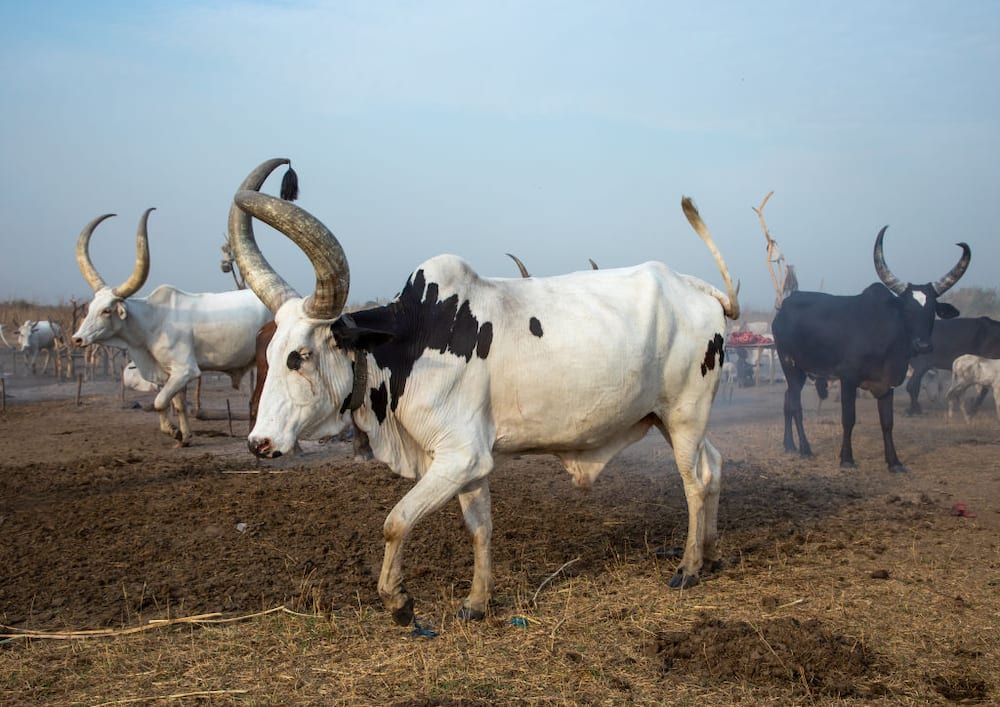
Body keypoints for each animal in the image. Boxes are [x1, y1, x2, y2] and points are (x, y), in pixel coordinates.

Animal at [72, 207, 272, 446]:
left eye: (106, 310)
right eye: (91, 307)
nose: (77, 338)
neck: (152, 321)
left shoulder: (185, 370)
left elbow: (159, 402)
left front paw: (173, 431)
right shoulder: (171, 375)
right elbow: (178, 405)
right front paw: (185, 437)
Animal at [230, 159, 740, 624]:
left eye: (301, 355)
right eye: (269, 352)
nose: (259, 443)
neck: (408, 342)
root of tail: (697, 289)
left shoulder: (460, 457)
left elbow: (396, 522)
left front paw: (398, 601)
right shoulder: (468, 464)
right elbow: (479, 528)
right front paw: (476, 603)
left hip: (685, 416)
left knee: (695, 481)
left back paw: (689, 567)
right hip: (669, 419)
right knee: (714, 465)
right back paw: (712, 554)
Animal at [772, 227, 968, 470]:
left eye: (932, 309)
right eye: (906, 309)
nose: (923, 345)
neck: (885, 338)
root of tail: (783, 308)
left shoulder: (887, 385)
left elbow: (887, 422)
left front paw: (894, 462)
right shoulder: (847, 379)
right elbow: (849, 419)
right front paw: (846, 458)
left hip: (800, 371)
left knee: (787, 400)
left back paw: (789, 445)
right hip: (789, 365)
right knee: (796, 406)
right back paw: (805, 449)